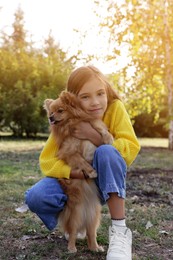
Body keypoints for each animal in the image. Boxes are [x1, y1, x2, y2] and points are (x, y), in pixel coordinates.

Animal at [44, 91, 113, 252]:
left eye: (60, 111)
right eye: (51, 113)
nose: (51, 118)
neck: (71, 124)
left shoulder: (91, 123)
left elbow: (100, 127)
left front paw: (108, 138)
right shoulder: (69, 152)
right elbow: (81, 161)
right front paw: (91, 171)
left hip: (93, 216)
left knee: (91, 233)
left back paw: (95, 248)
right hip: (75, 214)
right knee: (73, 232)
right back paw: (71, 248)